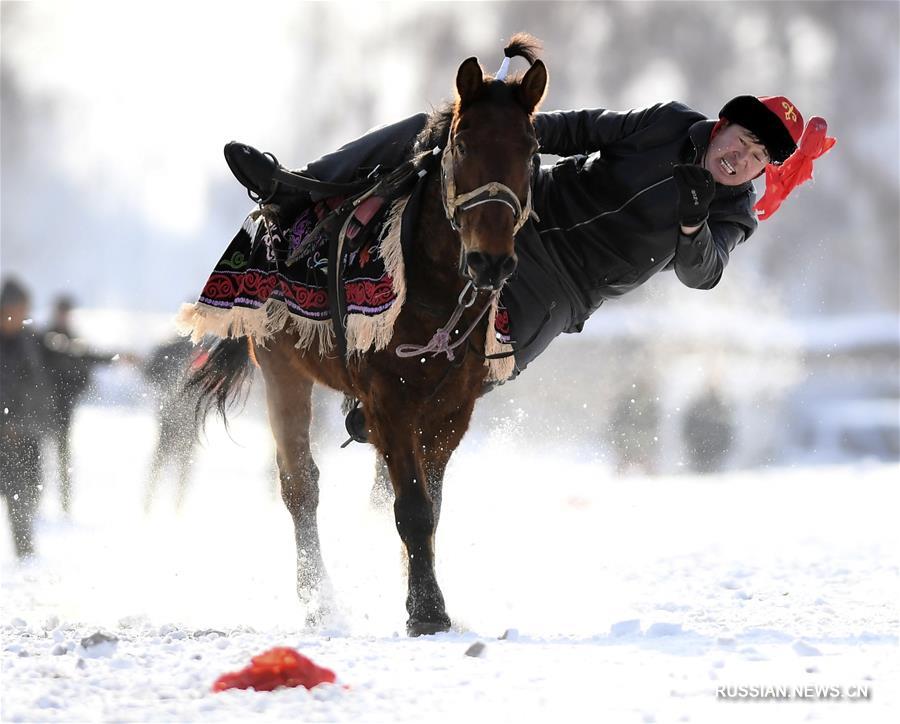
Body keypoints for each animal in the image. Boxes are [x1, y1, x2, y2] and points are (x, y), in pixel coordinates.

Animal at [191, 36, 548, 636]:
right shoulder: (390, 401)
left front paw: (422, 595)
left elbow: (429, 506)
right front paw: (427, 610)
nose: (491, 261)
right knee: (300, 486)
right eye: (463, 143)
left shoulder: (451, 411)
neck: (429, 288)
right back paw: (317, 599)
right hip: (281, 370)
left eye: (530, 148)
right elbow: (412, 508)